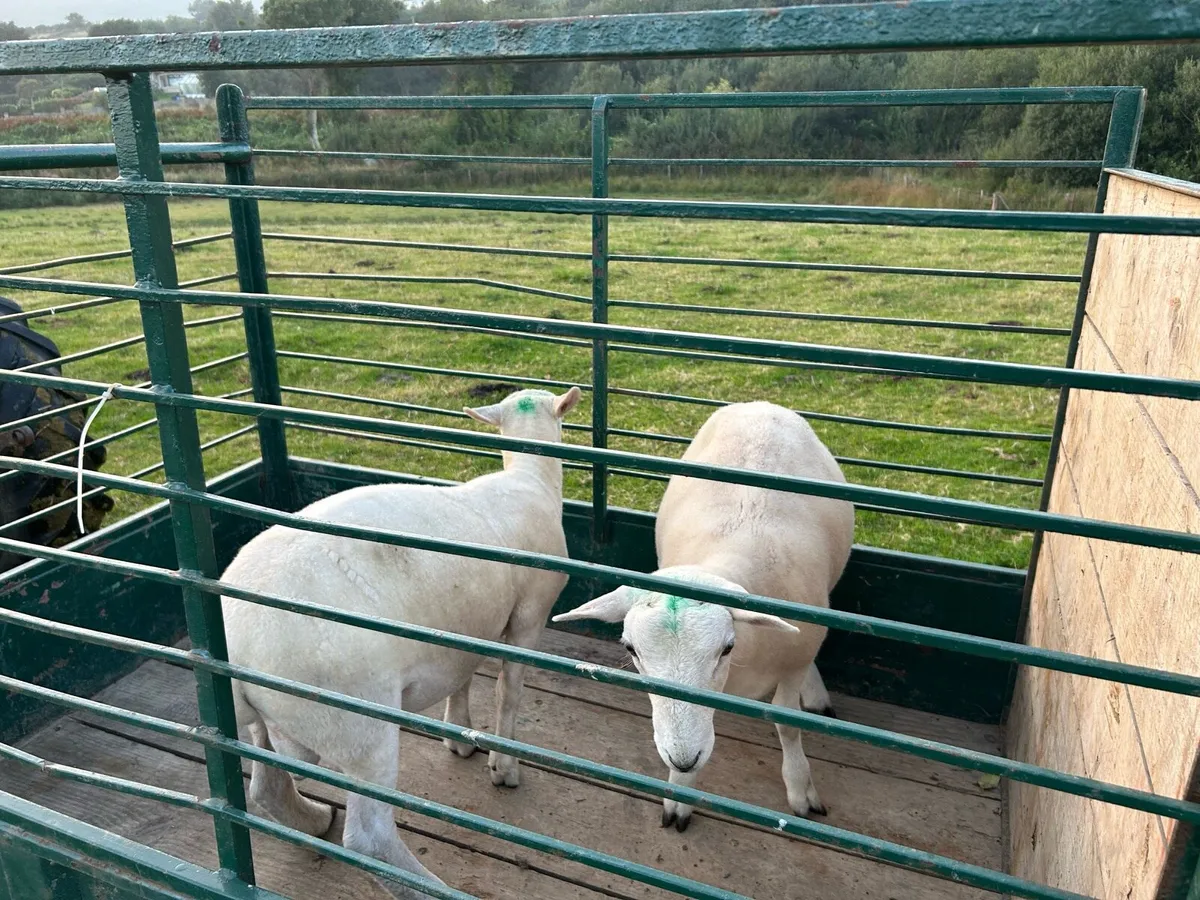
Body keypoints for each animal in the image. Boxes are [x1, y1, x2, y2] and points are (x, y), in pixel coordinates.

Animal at [219, 386, 581, 899]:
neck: (529, 477)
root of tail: (233, 639)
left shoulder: (465, 624)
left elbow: (463, 676)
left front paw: (460, 734)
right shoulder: (530, 615)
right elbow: (508, 691)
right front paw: (504, 766)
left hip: (275, 721)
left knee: (266, 788)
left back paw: (313, 819)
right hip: (358, 722)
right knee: (367, 840)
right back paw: (430, 888)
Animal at [553, 401, 853, 832]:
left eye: (726, 648)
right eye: (631, 649)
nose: (682, 758)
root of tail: (759, 405)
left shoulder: (795, 658)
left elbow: (787, 723)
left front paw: (800, 787)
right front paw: (680, 789)